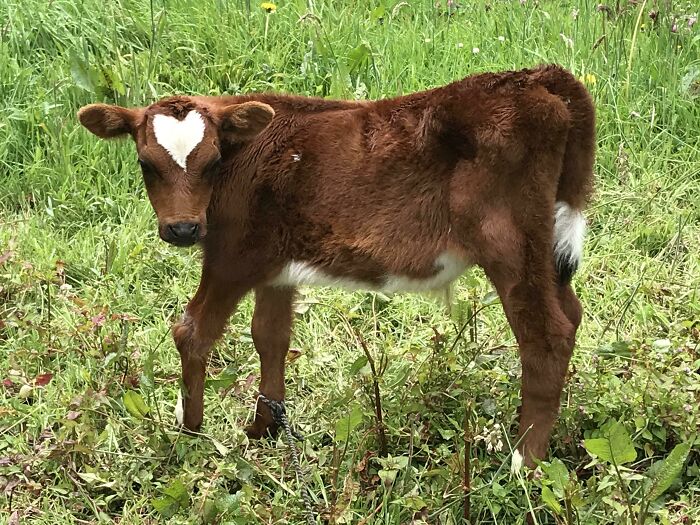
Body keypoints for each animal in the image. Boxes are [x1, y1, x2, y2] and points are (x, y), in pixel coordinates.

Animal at [78, 64, 595, 467]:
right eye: (146, 163)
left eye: (211, 161)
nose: (183, 229)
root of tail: (536, 77)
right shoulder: (275, 264)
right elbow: (270, 335)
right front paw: (265, 430)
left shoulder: (234, 254)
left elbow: (193, 330)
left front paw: (191, 432)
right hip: (545, 244)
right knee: (570, 314)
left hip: (509, 242)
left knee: (545, 334)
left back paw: (525, 461)